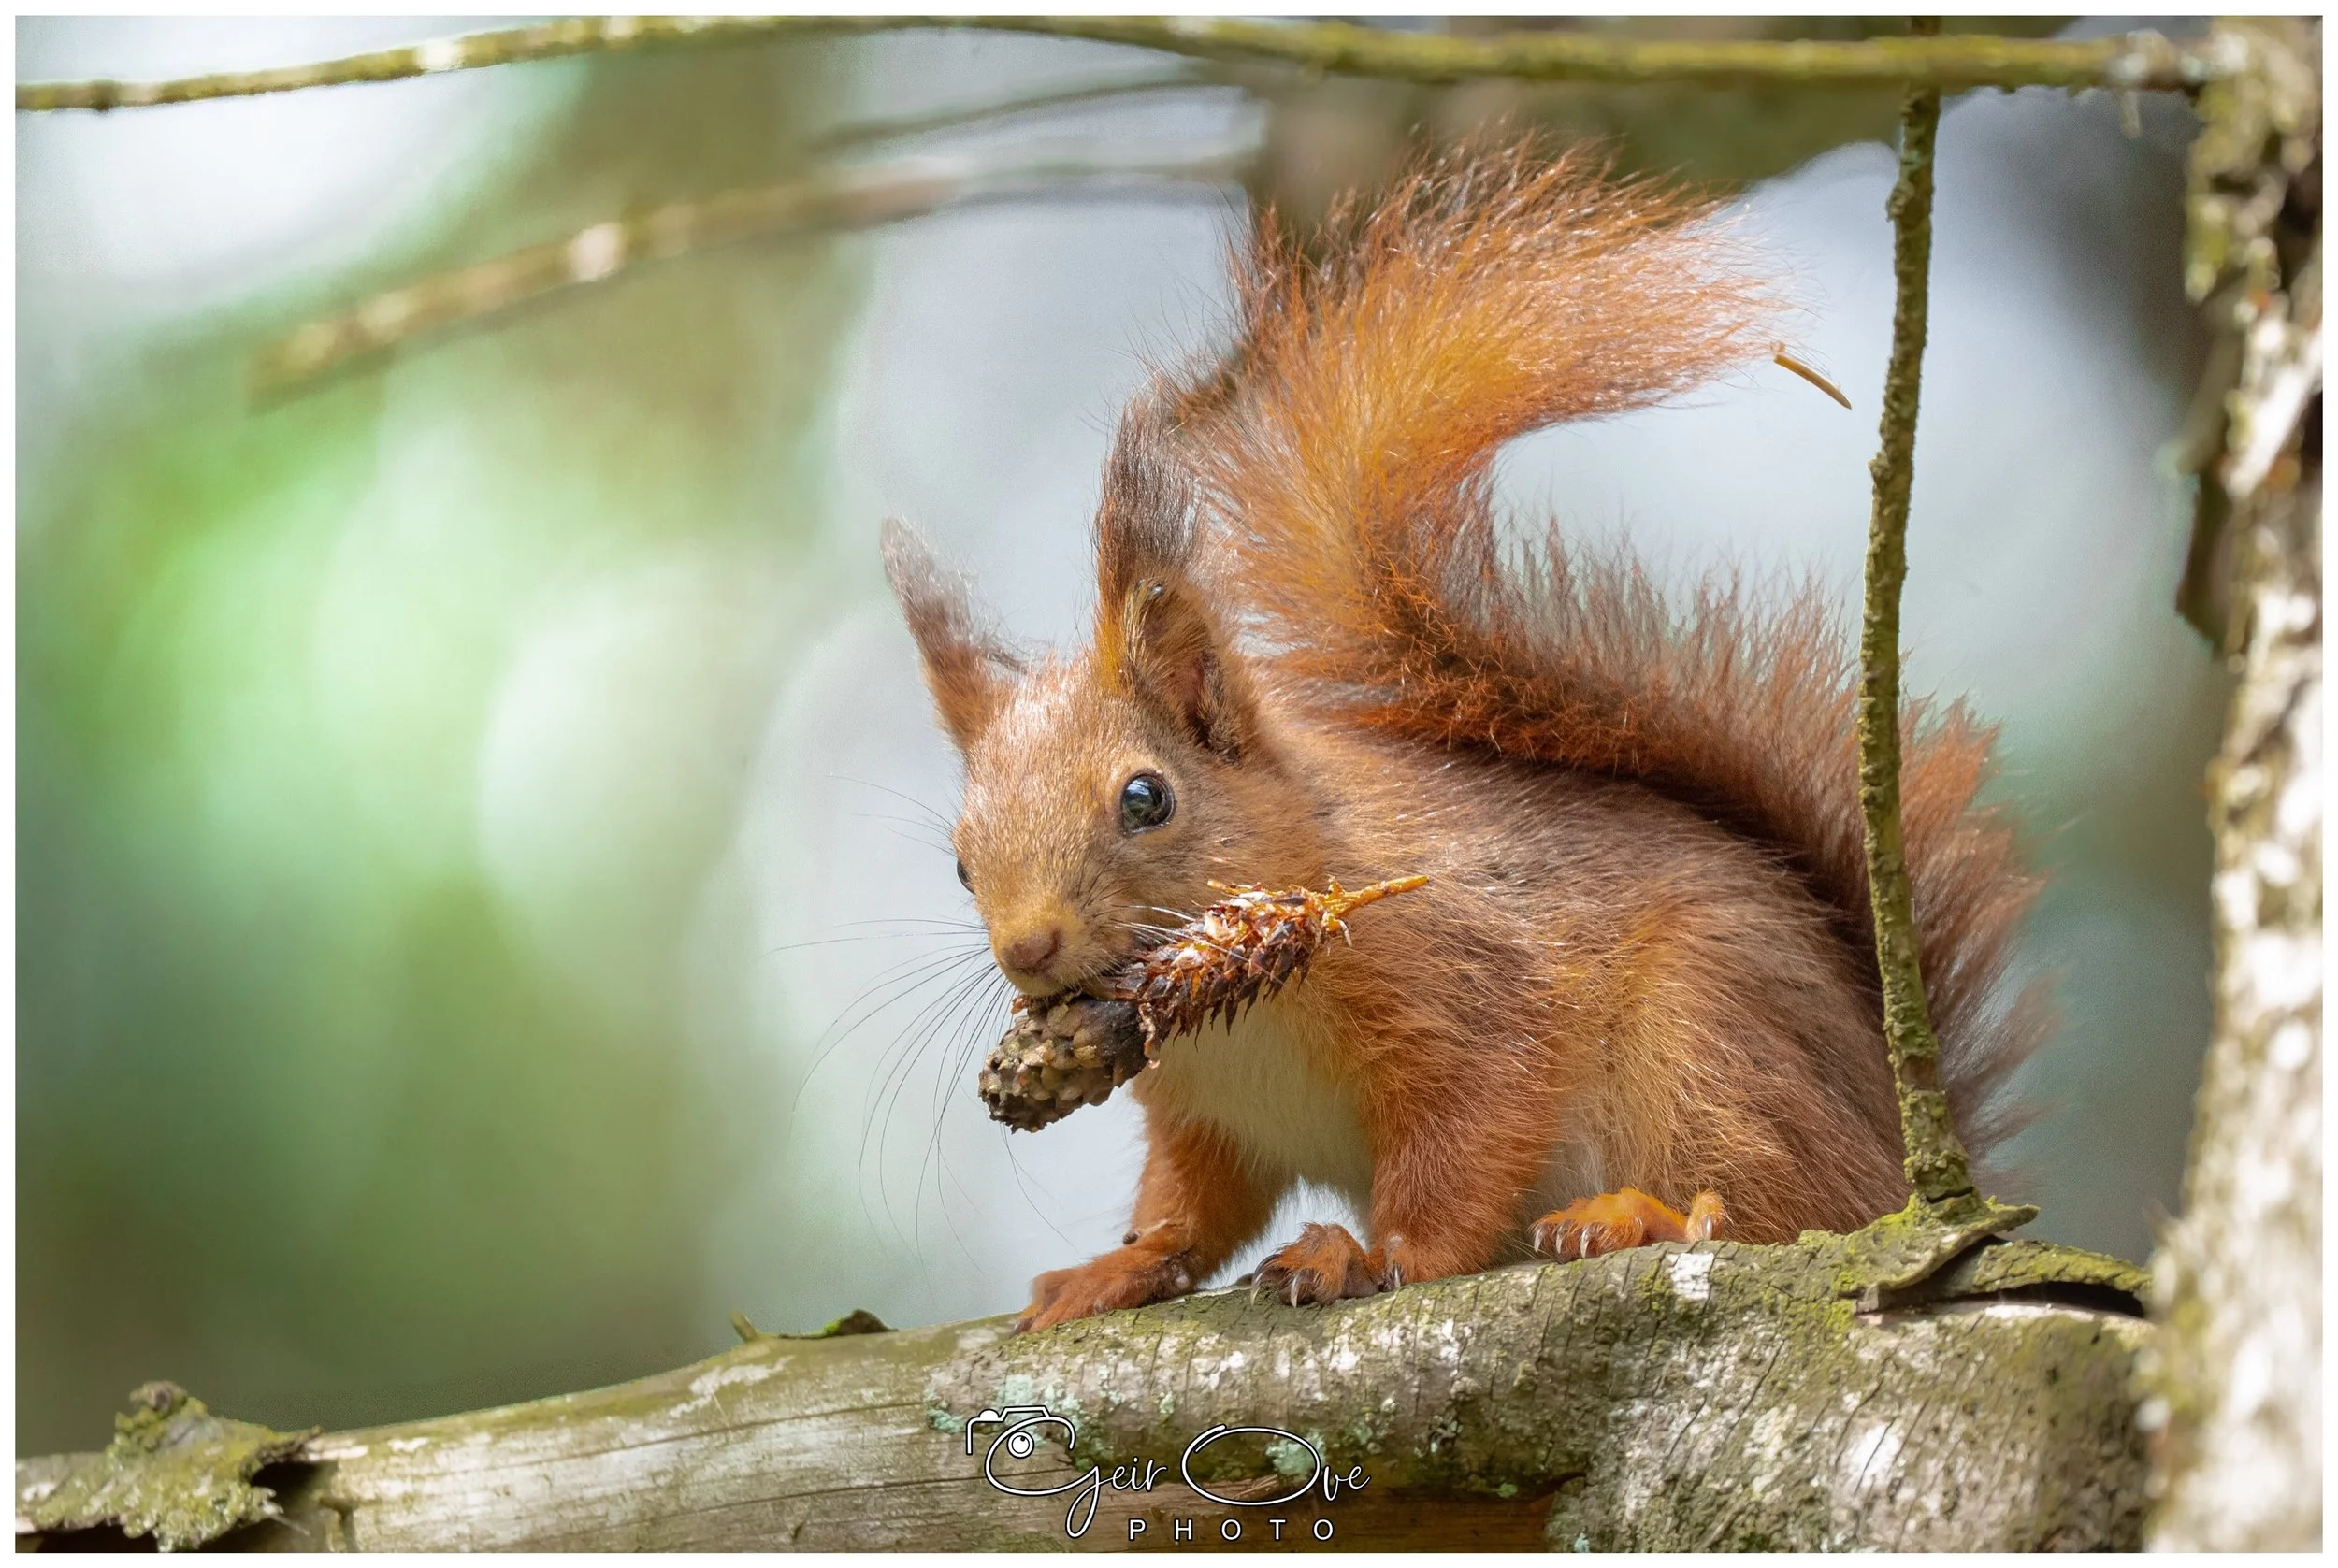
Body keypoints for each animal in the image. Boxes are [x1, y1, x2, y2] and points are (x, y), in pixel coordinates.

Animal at [881, 144, 2043, 1333]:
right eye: (959, 861)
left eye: (1146, 798)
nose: (1027, 950)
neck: (1233, 1017)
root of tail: (1901, 1162)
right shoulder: (1203, 1118)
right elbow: (1188, 1209)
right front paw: (1114, 1270)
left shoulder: (1470, 985)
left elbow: (1468, 1140)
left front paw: (1373, 1255)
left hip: (1714, 1048)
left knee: (1779, 1210)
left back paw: (1639, 1218)